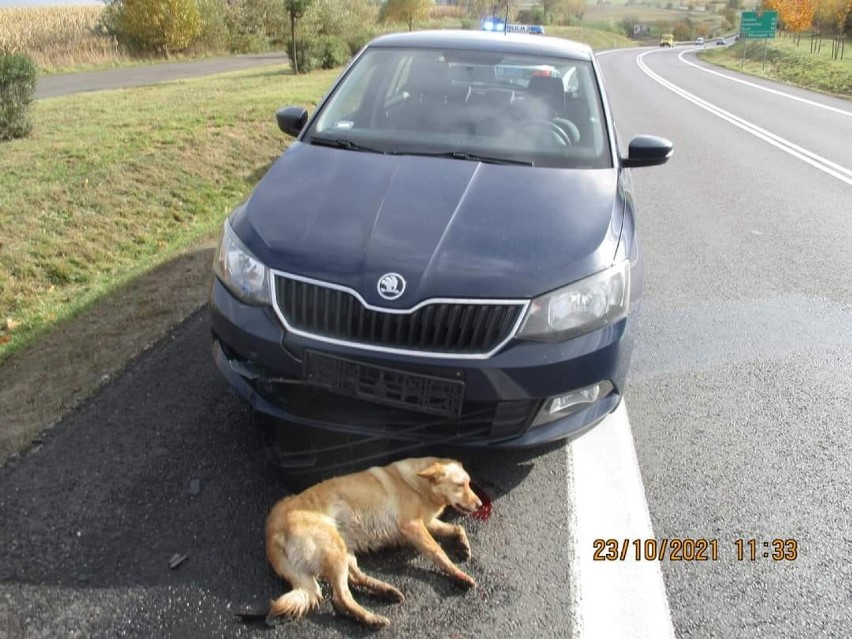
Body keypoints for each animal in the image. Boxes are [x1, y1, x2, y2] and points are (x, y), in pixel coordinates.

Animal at [262, 458, 482, 628]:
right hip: (335, 549)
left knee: (354, 578)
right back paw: (371, 619)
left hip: (344, 548)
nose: (480, 505)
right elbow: (439, 554)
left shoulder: (427, 523)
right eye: (460, 485)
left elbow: (457, 528)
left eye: (469, 483)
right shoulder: (413, 527)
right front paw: (459, 575)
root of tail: (272, 530)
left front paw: (462, 544)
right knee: (341, 597)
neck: (417, 483)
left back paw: (387, 591)